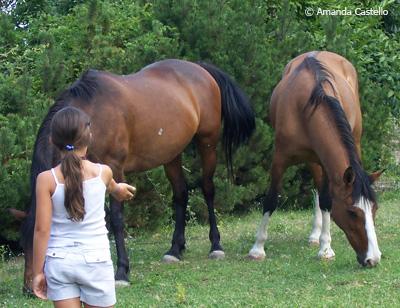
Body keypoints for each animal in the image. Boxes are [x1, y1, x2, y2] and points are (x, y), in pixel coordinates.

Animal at [20, 58, 255, 292]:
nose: (30, 289)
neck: (92, 115)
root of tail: (200, 69)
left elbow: (116, 219)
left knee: (208, 189)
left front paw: (122, 271)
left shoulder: (114, 170)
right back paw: (175, 249)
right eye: (23, 244)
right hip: (171, 154)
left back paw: (216, 245)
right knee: (181, 193)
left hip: (207, 143)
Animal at [248, 51, 382, 268]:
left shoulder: (327, 164)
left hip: (350, 144)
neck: (305, 107)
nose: (373, 258)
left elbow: (327, 201)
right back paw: (314, 235)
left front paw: (325, 249)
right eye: (352, 212)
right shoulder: (279, 159)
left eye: (375, 209)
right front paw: (257, 249)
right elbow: (270, 200)